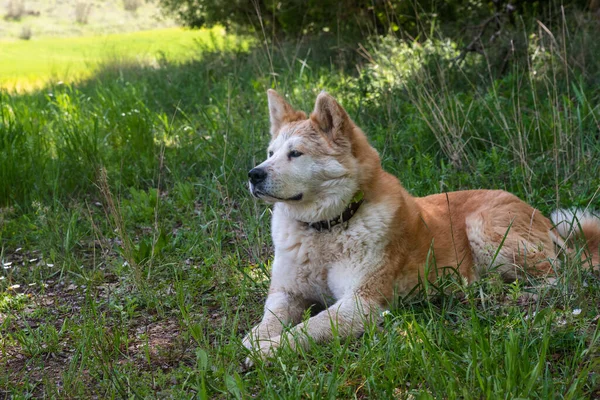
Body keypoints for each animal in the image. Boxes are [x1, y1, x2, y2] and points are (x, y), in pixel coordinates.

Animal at [243, 90, 600, 362]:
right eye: (270, 153)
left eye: (296, 154)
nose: (253, 174)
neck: (325, 229)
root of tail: (540, 216)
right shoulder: (286, 292)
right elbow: (268, 320)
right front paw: (256, 339)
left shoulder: (361, 304)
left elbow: (306, 329)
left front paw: (268, 351)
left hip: (483, 228)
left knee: (560, 276)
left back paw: (517, 295)